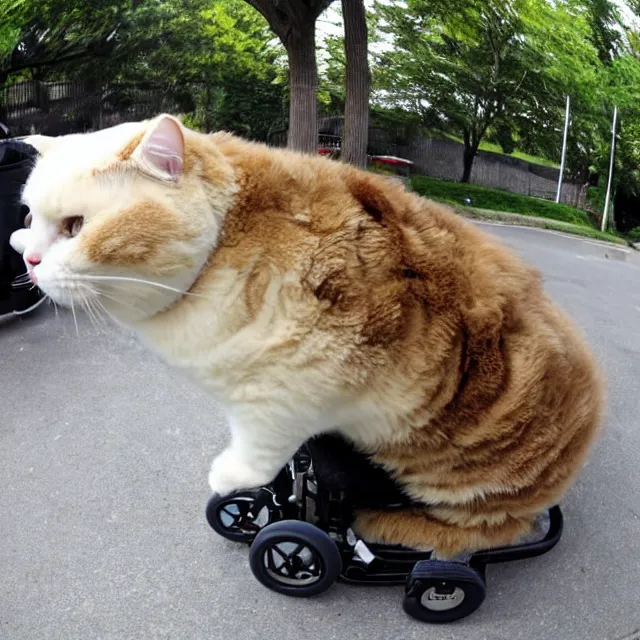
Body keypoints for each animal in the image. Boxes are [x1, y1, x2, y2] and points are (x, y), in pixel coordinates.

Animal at [11, 116, 604, 560]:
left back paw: (391, 529)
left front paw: (233, 480)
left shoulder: (292, 385)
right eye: (31, 217)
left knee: (484, 535)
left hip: (466, 489)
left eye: (75, 226)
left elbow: (258, 446)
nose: (28, 260)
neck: (224, 244)